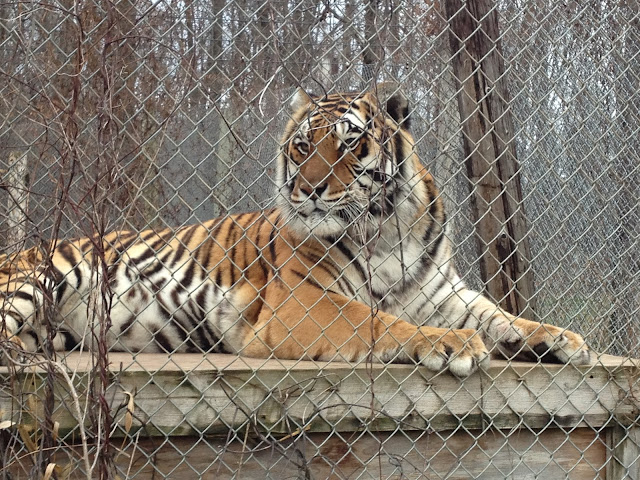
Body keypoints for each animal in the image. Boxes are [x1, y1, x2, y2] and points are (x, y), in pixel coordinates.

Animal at [0, 85, 590, 376]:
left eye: (350, 143)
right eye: (303, 145)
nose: (308, 189)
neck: (388, 229)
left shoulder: (440, 291)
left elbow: (497, 314)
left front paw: (558, 337)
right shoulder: (304, 303)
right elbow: (377, 322)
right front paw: (449, 344)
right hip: (46, 275)